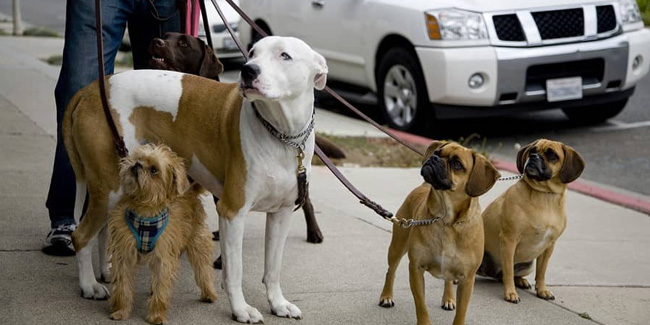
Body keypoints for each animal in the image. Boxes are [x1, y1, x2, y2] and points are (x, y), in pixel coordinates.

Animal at [107, 145, 216, 324]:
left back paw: (209, 292)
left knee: (204, 269)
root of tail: (190, 191)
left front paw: (156, 315)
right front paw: (121, 311)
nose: (137, 165)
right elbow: (123, 285)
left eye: (153, 170)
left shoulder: (164, 258)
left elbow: (162, 286)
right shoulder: (124, 254)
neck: (144, 210)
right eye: (139, 158)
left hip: (198, 242)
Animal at [378, 141, 498, 324]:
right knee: (390, 271)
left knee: (447, 281)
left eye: (457, 164)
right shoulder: (416, 269)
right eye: (437, 152)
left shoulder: (467, 279)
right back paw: (386, 296)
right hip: (397, 248)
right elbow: (421, 306)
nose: (434, 158)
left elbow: (461, 312)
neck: (446, 220)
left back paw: (448, 299)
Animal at [478, 139, 584, 302]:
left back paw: (521, 281)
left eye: (552, 155)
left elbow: (542, 272)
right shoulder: (509, 240)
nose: (533, 157)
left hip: (528, 265)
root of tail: (492, 272)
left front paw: (542, 290)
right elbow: (508, 271)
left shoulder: (549, 246)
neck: (544, 195)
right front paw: (510, 293)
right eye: (532, 150)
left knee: (506, 276)